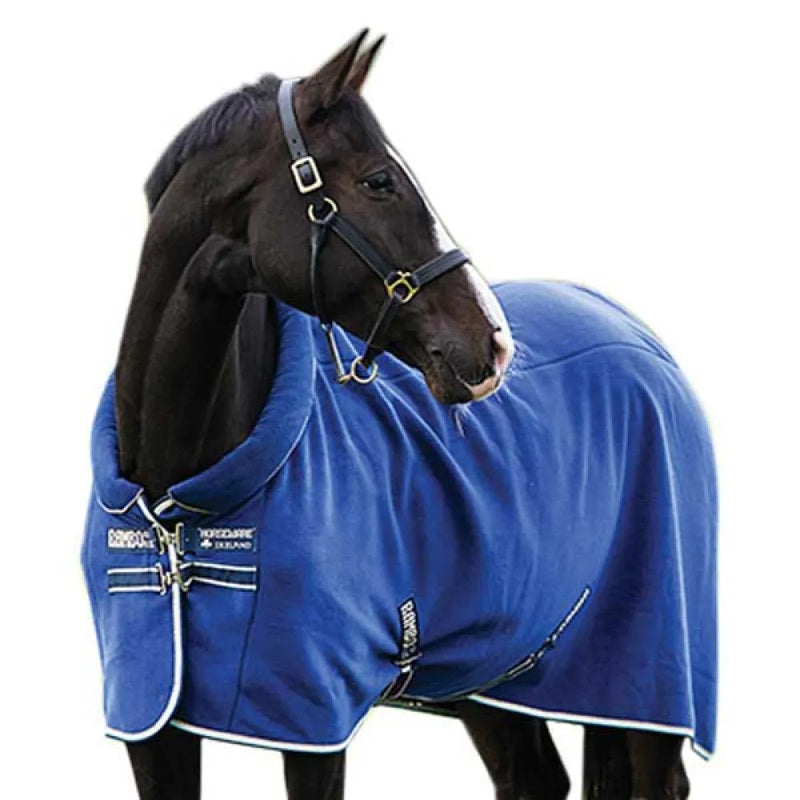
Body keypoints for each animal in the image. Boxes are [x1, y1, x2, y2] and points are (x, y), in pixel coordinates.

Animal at [81, 30, 716, 800]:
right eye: (380, 181)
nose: (493, 344)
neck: (178, 500)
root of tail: (644, 343)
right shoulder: (154, 725)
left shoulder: (313, 725)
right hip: (497, 677)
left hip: (644, 682)